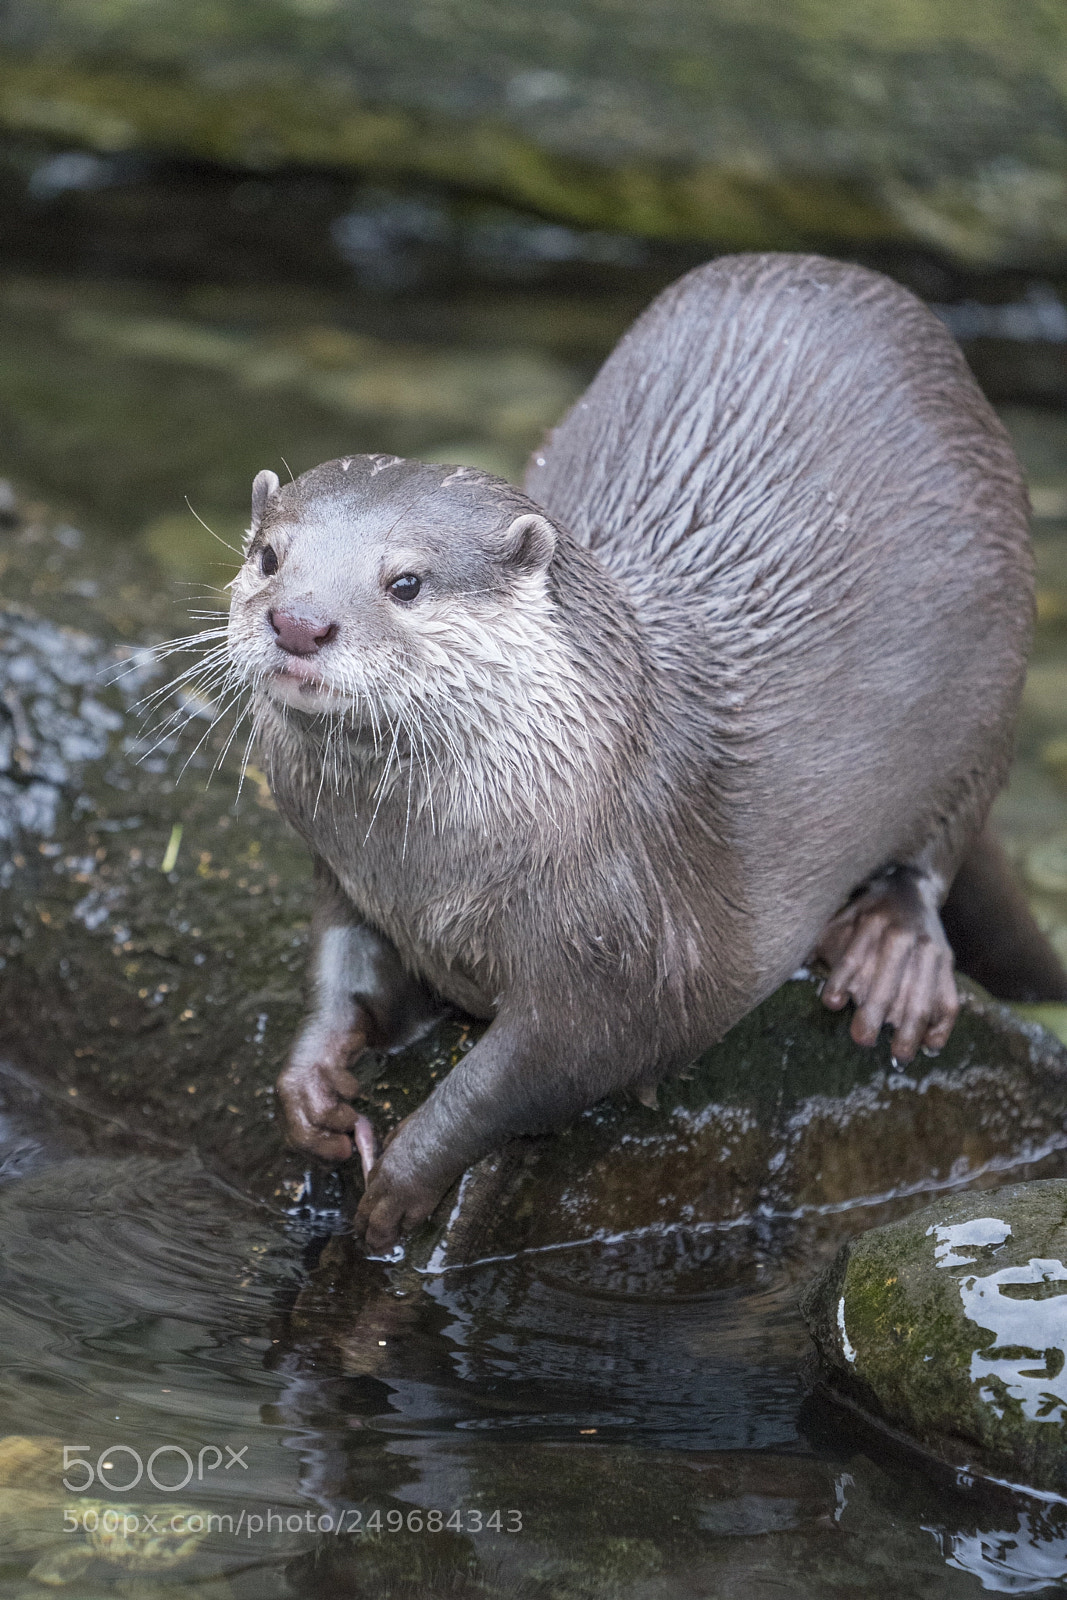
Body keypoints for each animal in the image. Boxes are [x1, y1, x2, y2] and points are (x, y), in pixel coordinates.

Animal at [224, 253, 1067, 1252]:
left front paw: (403, 1180)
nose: (299, 621)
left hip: (989, 680)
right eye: (269, 556)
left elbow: (531, 1074)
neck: (431, 867)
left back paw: (890, 956)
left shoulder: (625, 955)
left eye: (406, 581)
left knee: (940, 845)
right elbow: (343, 980)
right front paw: (313, 1086)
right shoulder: (346, 876)